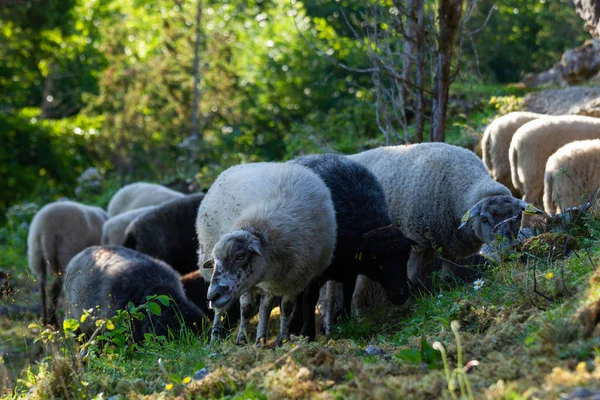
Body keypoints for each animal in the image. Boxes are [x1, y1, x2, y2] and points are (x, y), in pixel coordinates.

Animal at [197, 162, 338, 346]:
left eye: (240, 256)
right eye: (214, 262)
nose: (212, 295)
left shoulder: (295, 278)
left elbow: (286, 308)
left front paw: (282, 341)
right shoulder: (250, 282)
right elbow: (246, 308)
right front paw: (241, 340)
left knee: (264, 307)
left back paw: (260, 340)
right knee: (223, 310)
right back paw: (216, 338)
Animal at [292, 155, 414, 340]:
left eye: (407, 254)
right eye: (375, 257)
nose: (401, 294)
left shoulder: (350, 270)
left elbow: (348, 292)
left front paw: (345, 320)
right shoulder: (316, 271)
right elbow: (310, 297)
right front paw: (308, 334)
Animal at [346, 143, 540, 284]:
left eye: (519, 216)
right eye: (484, 219)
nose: (508, 250)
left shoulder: (451, 243)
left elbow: (446, 276)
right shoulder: (416, 240)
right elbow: (413, 278)